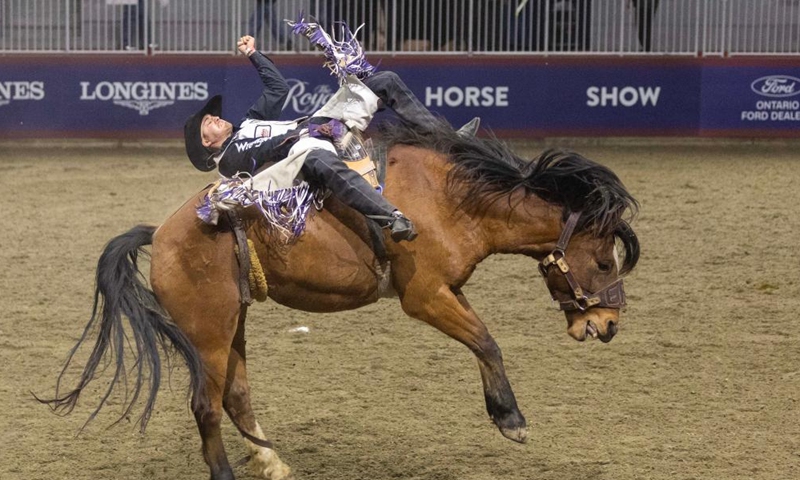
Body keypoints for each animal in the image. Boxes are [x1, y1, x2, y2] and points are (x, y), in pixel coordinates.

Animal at [39, 123, 639, 480]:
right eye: (604, 262)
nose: (608, 324)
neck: (454, 199)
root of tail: (161, 234)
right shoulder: (423, 296)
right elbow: (487, 341)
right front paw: (510, 419)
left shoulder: (450, 289)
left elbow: (481, 339)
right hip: (206, 331)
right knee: (205, 406)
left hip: (233, 323)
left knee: (236, 396)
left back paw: (272, 461)